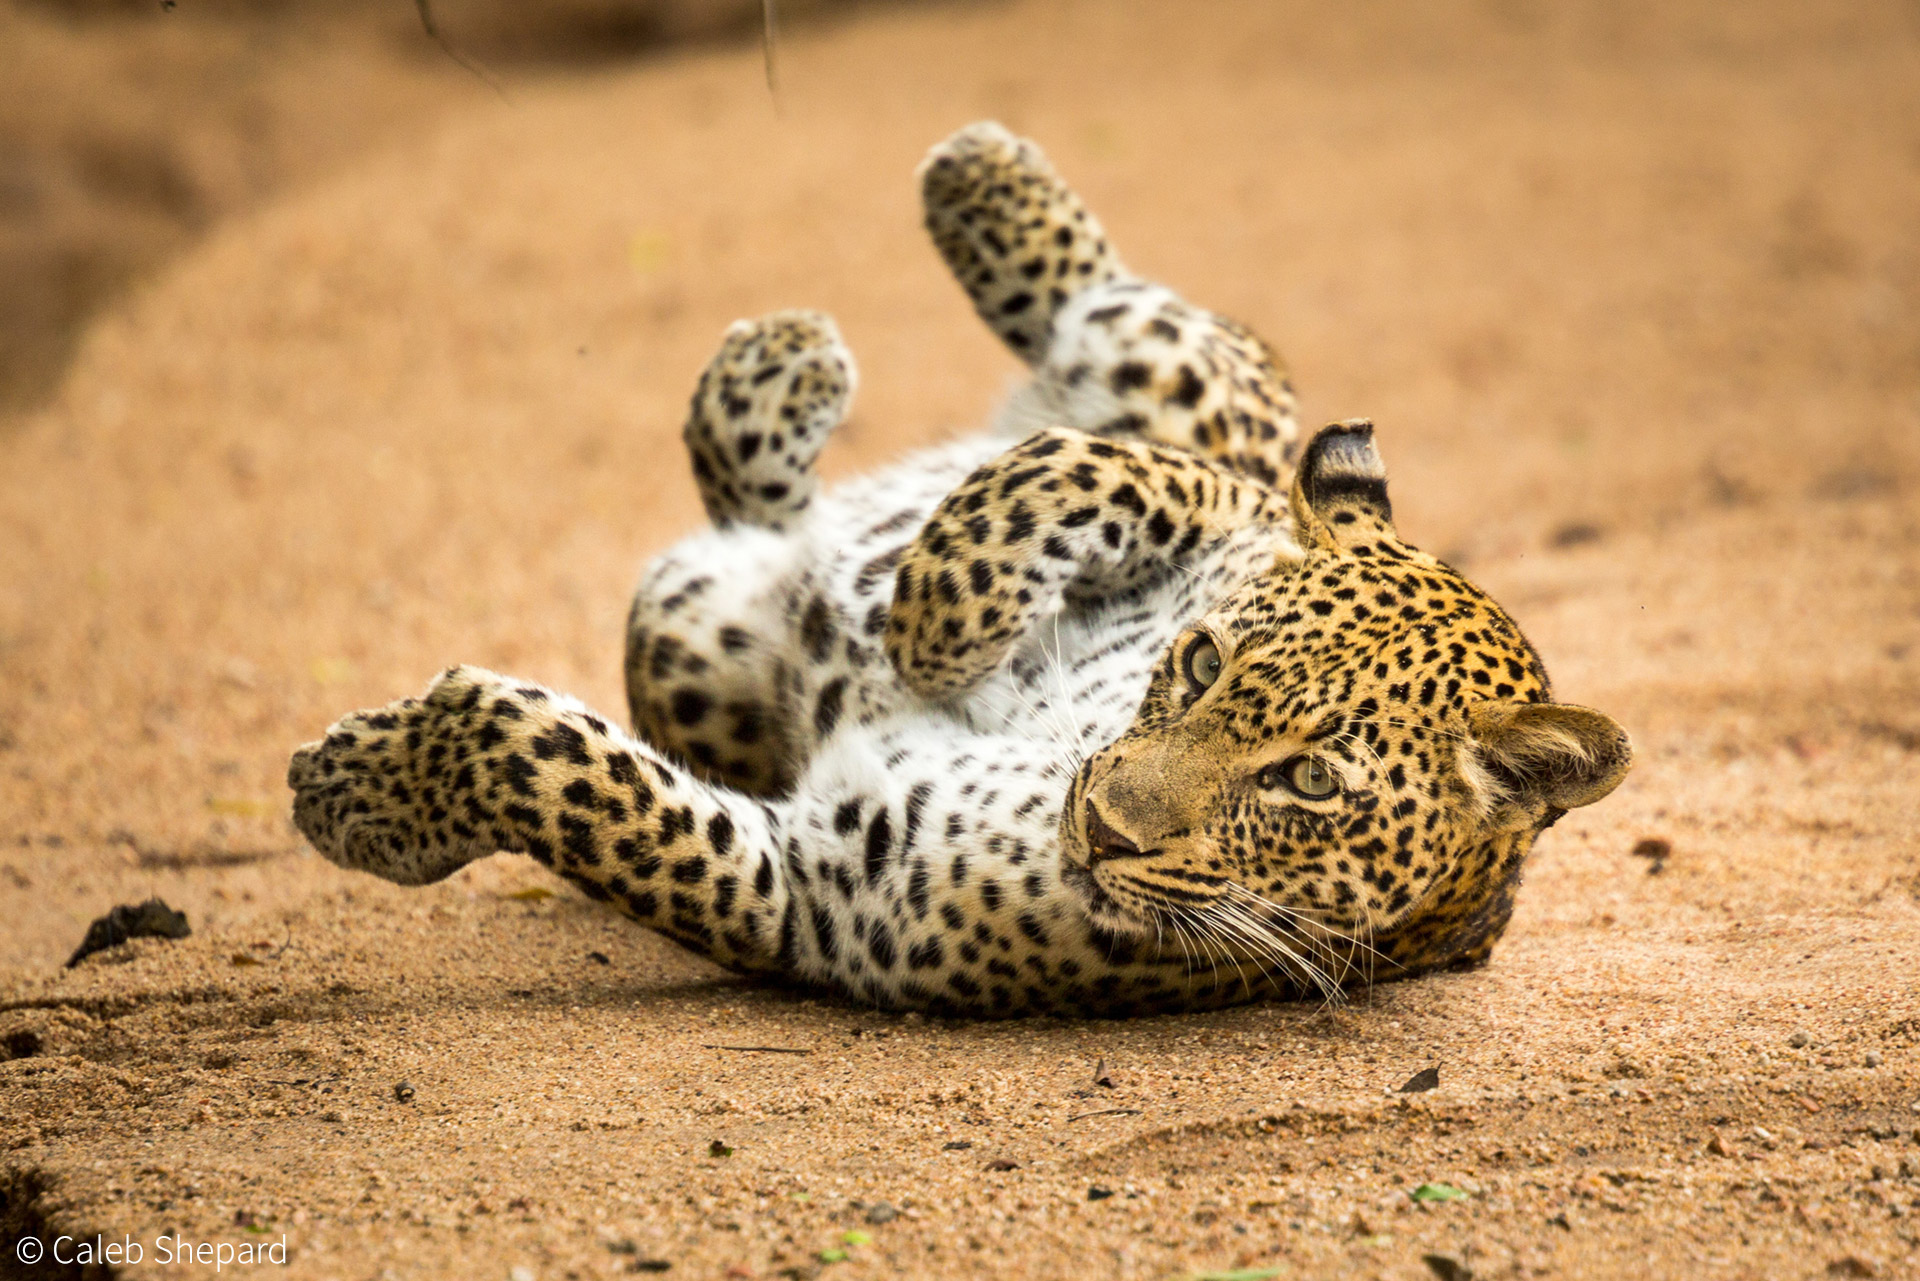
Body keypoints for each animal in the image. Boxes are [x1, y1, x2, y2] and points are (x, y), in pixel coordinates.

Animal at [288, 122, 1635, 1021]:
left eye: (1308, 782)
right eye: (1201, 666)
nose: (1100, 823)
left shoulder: (812, 892)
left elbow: (575, 786)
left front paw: (362, 790)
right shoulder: (1224, 498)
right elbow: (1082, 470)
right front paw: (938, 622)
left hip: (687, 634)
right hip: (1175, 396)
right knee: (1130, 330)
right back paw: (890, 264)